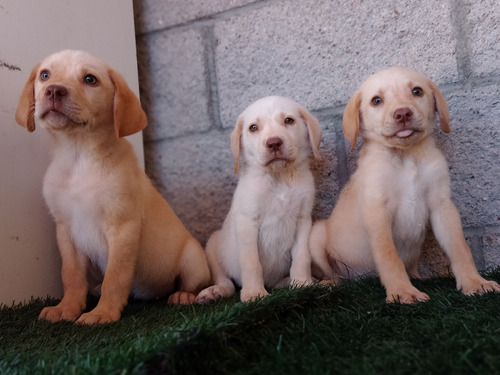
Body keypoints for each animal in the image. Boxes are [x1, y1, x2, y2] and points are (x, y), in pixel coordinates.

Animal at [15, 50, 210, 326]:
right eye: (45, 75)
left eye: (90, 79)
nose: (53, 90)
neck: (78, 156)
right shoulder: (65, 231)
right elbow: (71, 276)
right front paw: (67, 308)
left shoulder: (123, 227)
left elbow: (116, 276)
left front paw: (103, 312)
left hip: (193, 258)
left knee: (192, 283)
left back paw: (183, 295)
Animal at [193, 96, 322, 302]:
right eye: (253, 128)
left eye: (289, 120)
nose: (274, 143)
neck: (279, 178)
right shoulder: (247, 222)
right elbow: (251, 262)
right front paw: (254, 293)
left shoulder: (303, 220)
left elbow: (302, 257)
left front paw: (303, 283)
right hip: (213, 245)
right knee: (227, 282)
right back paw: (214, 292)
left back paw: (289, 282)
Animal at [308, 67, 500, 302]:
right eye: (376, 100)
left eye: (417, 91)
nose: (403, 114)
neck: (406, 156)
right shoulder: (377, 211)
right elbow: (389, 256)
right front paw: (402, 292)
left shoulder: (442, 205)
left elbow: (460, 247)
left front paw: (475, 282)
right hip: (316, 235)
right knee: (333, 275)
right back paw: (329, 284)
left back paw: (419, 277)